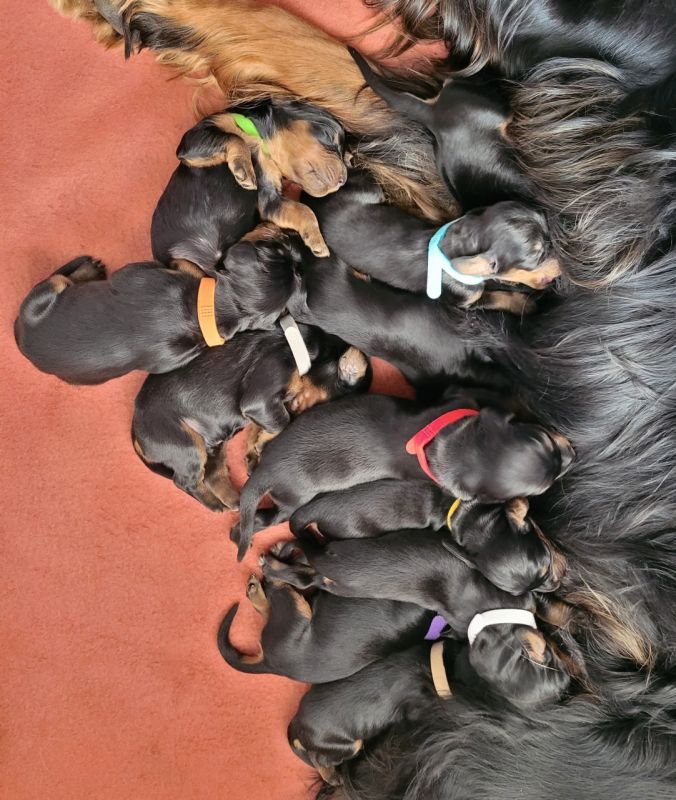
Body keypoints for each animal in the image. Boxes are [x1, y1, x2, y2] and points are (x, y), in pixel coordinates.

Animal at [14, 226, 303, 384]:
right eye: (277, 250)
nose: (292, 236)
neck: (208, 311)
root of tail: (19, 336)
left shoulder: (139, 272)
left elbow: (188, 265)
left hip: (47, 291)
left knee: (61, 277)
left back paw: (89, 268)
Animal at [131, 327, 370, 511]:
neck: (305, 349)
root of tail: (135, 431)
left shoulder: (262, 410)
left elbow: (261, 429)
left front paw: (254, 453)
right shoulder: (259, 399)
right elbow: (281, 423)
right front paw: (259, 447)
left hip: (214, 445)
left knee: (212, 474)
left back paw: (235, 501)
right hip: (187, 443)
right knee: (185, 482)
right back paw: (214, 505)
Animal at [233, 393, 575, 559]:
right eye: (543, 438)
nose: (573, 455)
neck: (448, 446)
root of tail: (267, 469)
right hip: (294, 496)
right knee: (276, 514)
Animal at [308, 172, 561, 308]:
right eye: (538, 256)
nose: (563, 263)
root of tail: (315, 203)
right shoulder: (467, 300)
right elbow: (499, 297)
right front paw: (526, 305)